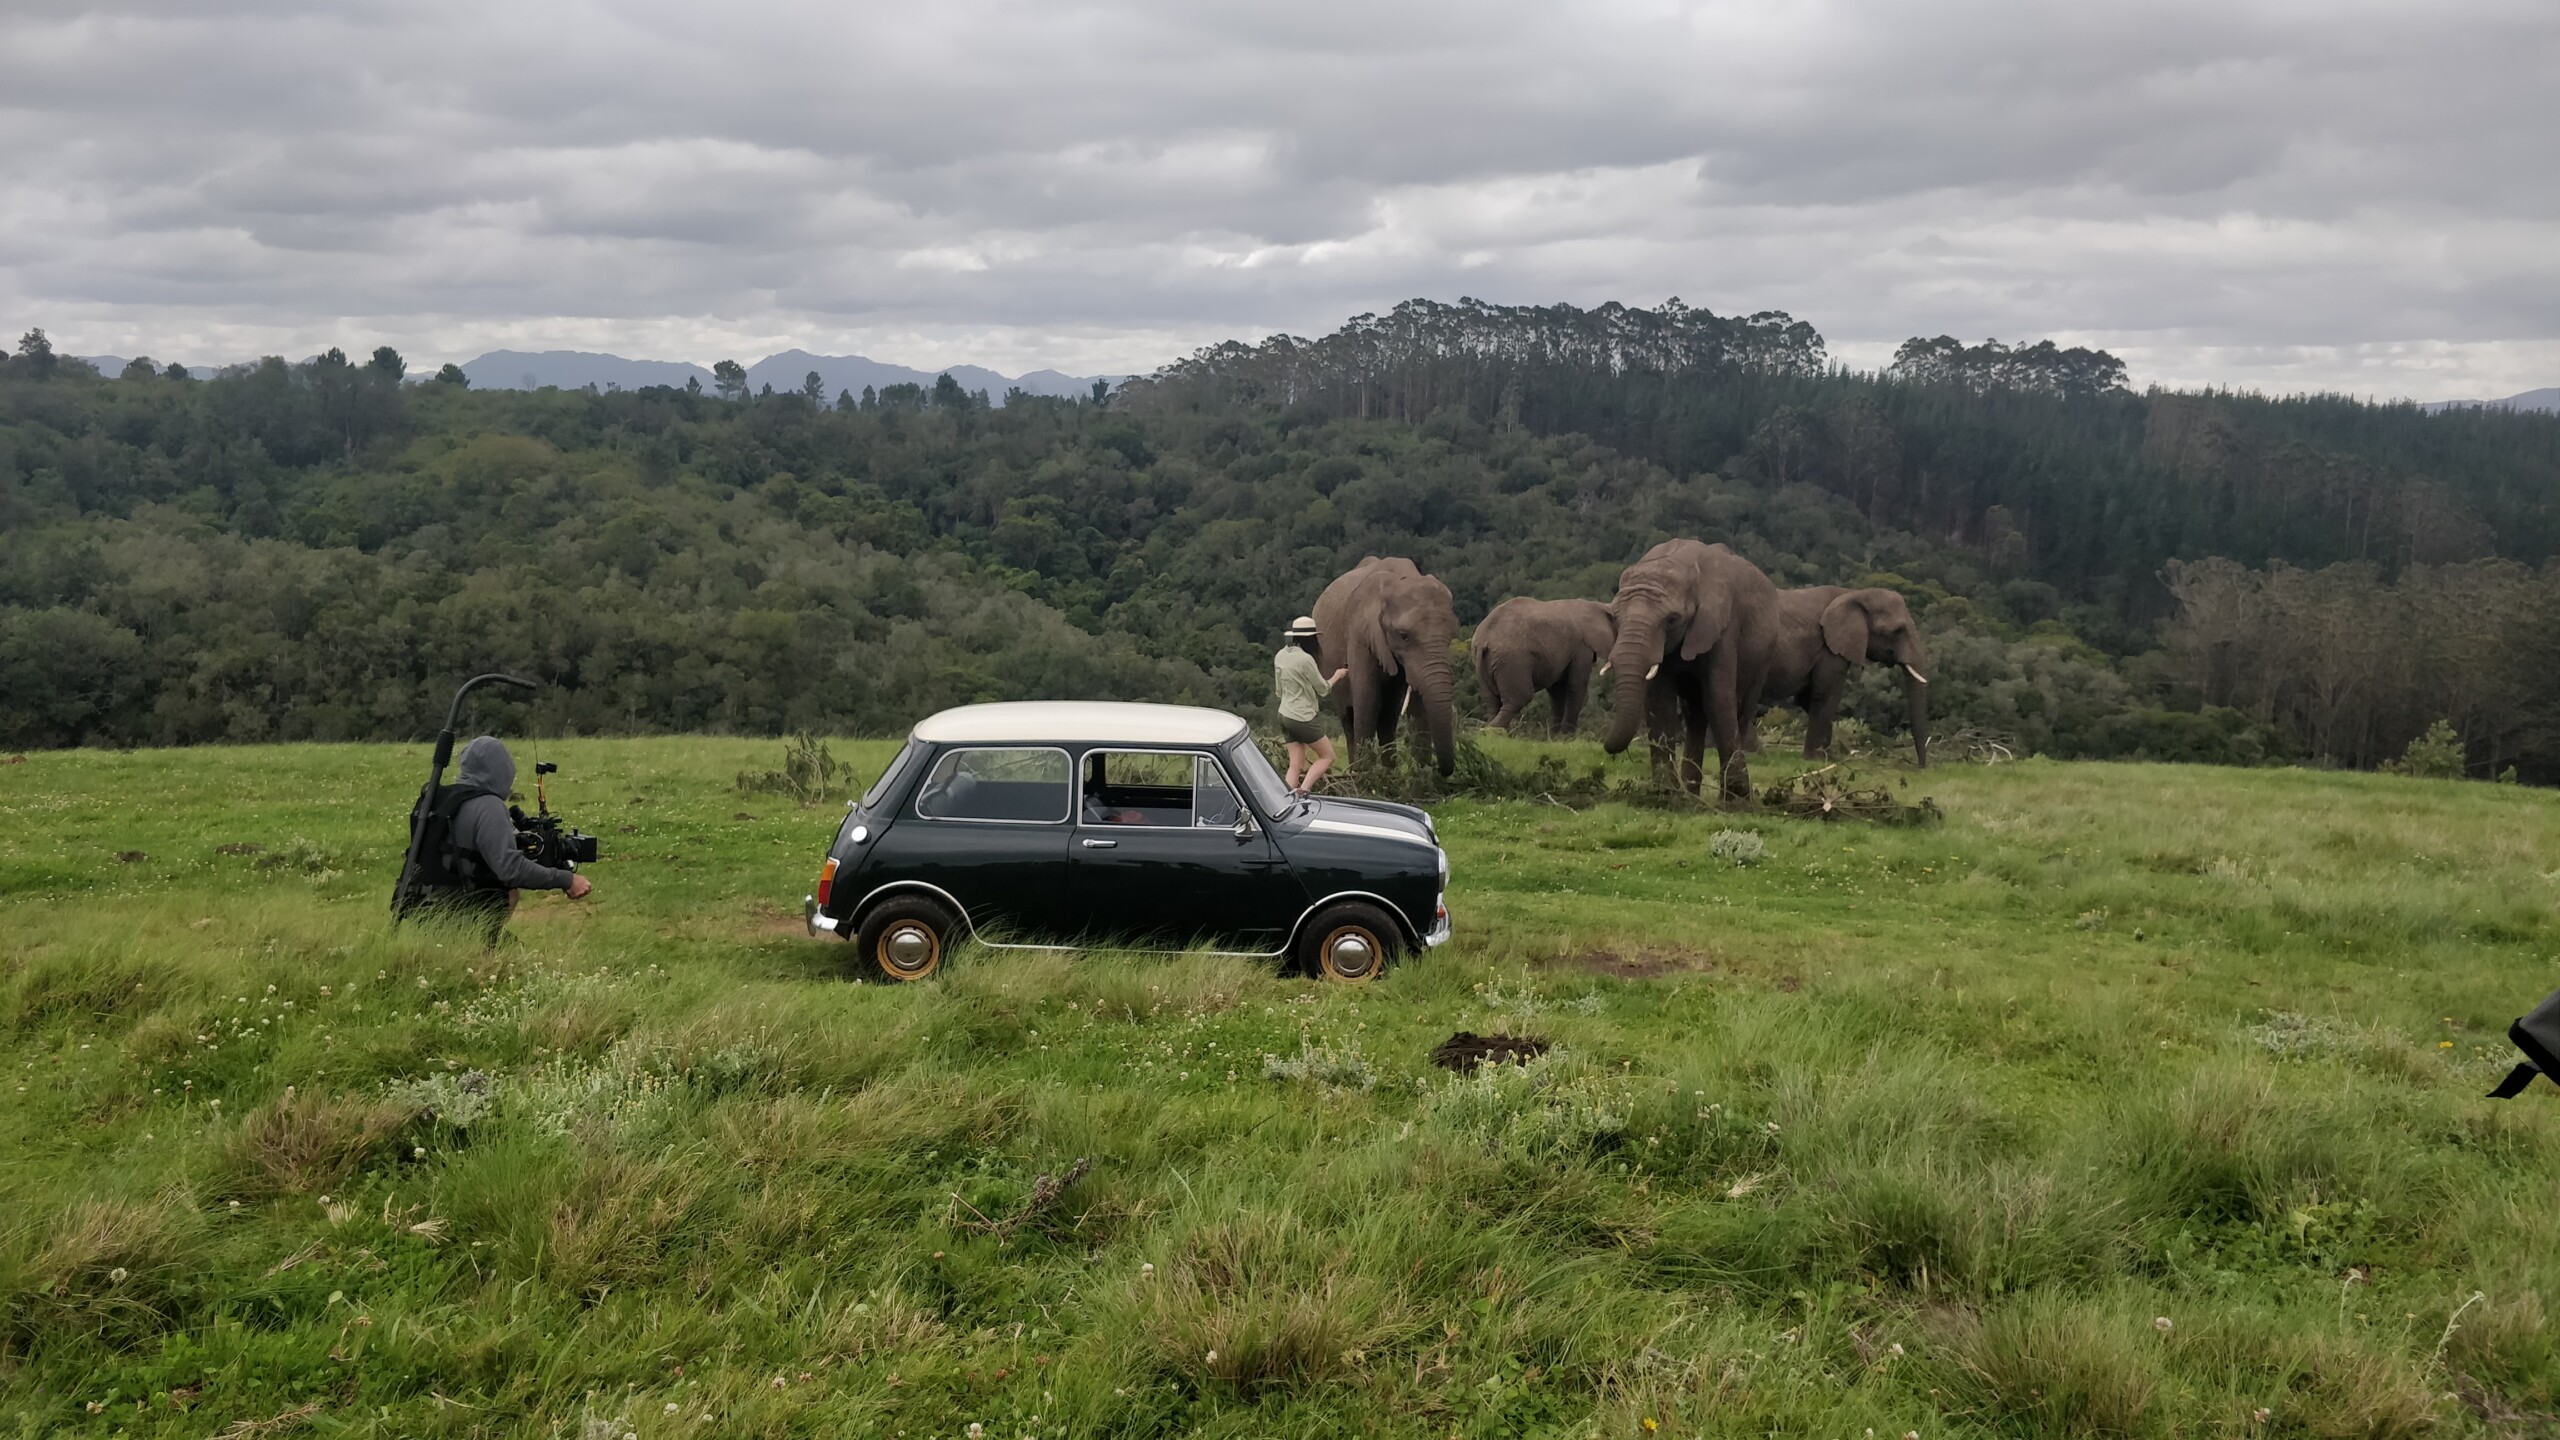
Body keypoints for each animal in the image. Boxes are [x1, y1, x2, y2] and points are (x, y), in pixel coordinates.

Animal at [1313, 556, 1460, 775]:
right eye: (1404, 636)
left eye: (1450, 636)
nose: (1440, 769)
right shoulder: (1360, 635)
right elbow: (1368, 700)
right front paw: (1367, 777)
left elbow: (1418, 706)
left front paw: (1423, 777)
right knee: (1349, 717)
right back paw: (1357, 772)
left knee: (1388, 717)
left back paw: (1390, 774)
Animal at [1472, 597, 1615, 733]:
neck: (1599, 605)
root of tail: (1484, 638)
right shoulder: (1581, 647)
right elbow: (1575, 687)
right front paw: (1566, 738)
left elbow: (1558, 692)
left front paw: (1555, 737)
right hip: (1512, 661)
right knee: (1519, 699)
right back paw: (1490, 732)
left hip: (1488, 662)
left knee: (1493, 701)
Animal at [1601, 540, 1781, 799]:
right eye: (1614, 619)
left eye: (1672, 620)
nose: (1607, 747)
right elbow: (1661, 704)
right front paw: (1666, 794)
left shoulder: (1722, 626)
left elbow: (1718, 699)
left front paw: (1735, 800)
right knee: (1695, 712)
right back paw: (1691, 795)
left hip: (1764, 654)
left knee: (1740, 708)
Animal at [1752, 586, 1931, 766]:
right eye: (1898, 630)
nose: (1919, 767)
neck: (1853, 593)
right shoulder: (1828, 650)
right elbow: (1826, 695)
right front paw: (1816, 758)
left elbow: (1806, 697)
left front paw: (1830, 756)